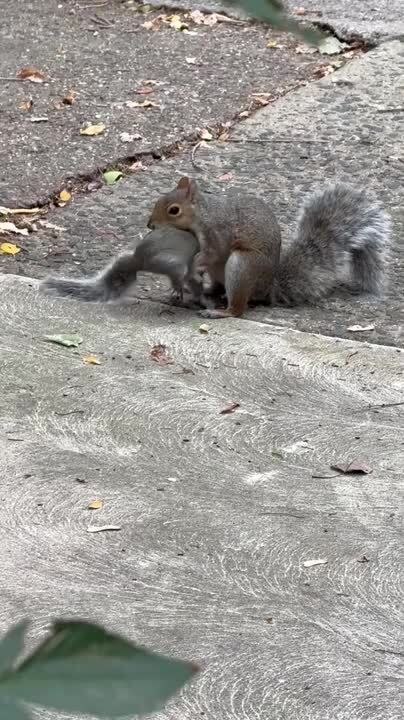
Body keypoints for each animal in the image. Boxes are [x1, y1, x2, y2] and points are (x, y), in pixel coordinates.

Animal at [147, 176, 391, 319]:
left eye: (174, 210)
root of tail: (268, 289)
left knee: (238, 309)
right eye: (158, 200)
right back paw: (203, 292)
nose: (150, 225)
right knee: (217, 288)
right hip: (222, 273)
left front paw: (194, 265)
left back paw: (220, 312)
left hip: (243, 265)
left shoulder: (218, 232)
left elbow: (213, 252)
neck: (203, 215)